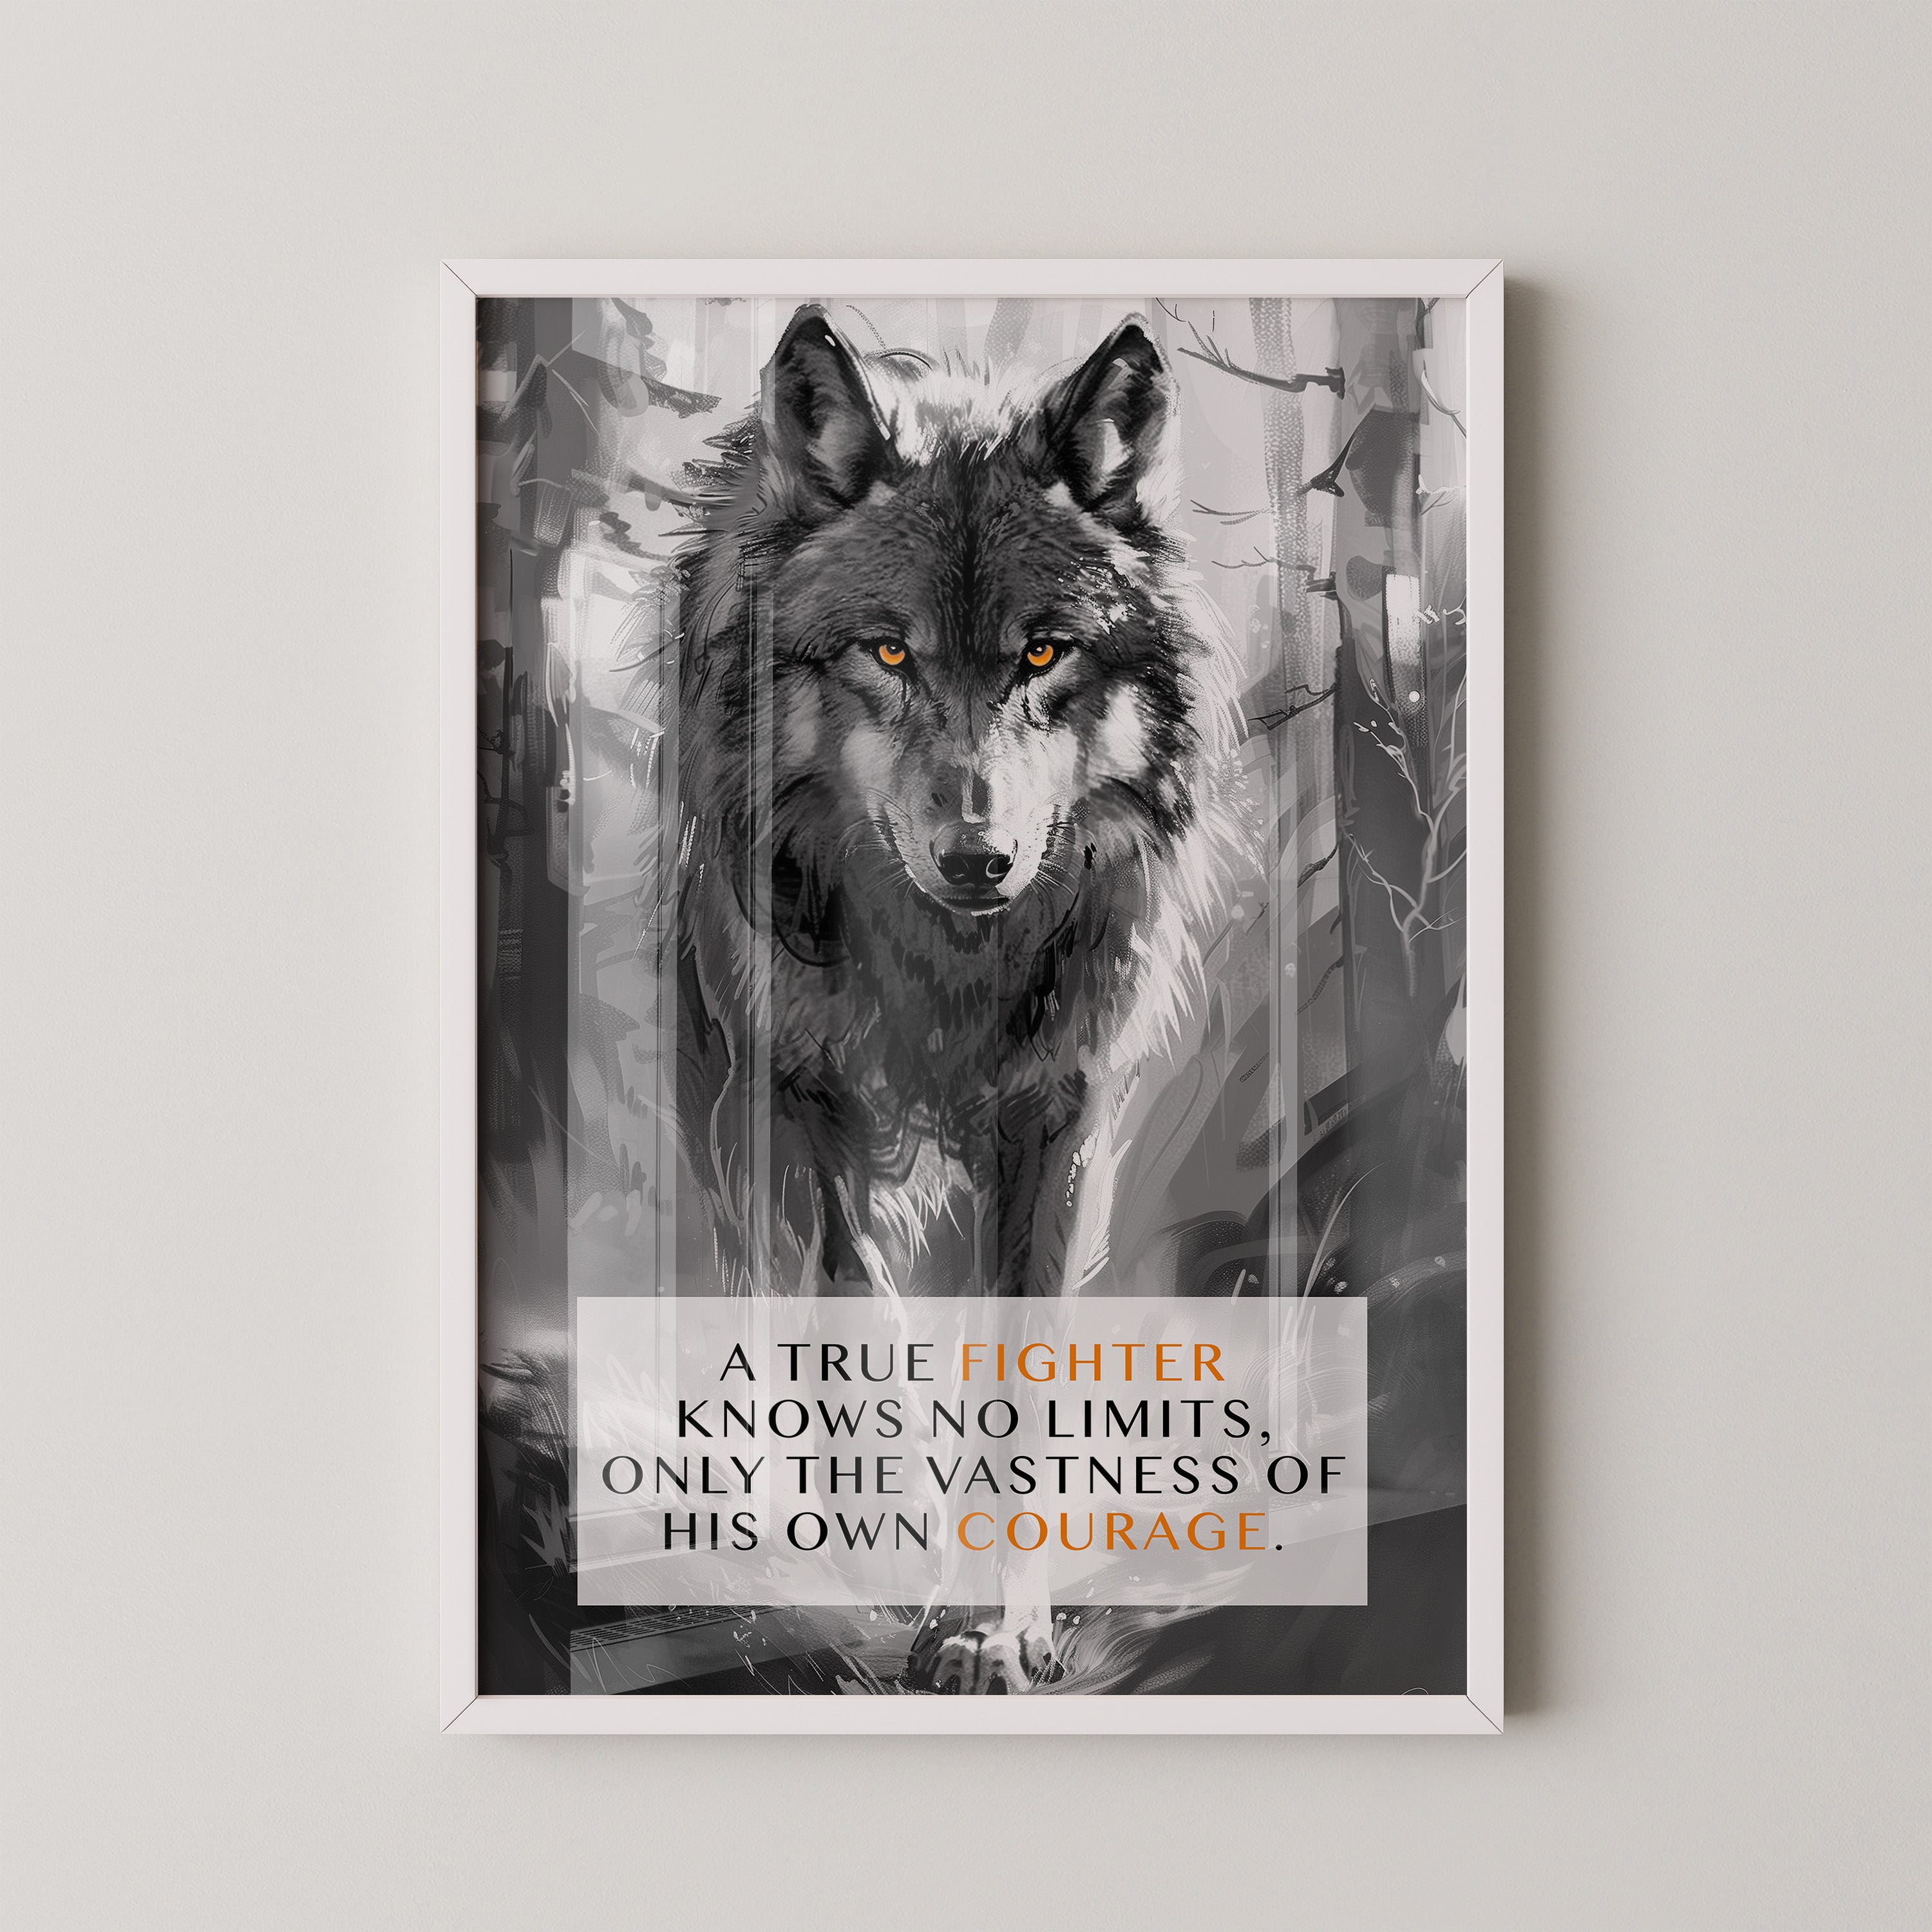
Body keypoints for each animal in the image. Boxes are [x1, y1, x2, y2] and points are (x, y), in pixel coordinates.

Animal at [671, 304, 1244, 1311]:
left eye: (1044, 653)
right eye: (891, 653)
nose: (977, 858)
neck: (951, 973)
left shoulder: (1062, 1106)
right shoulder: (787, 1094)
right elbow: (852, 1296)